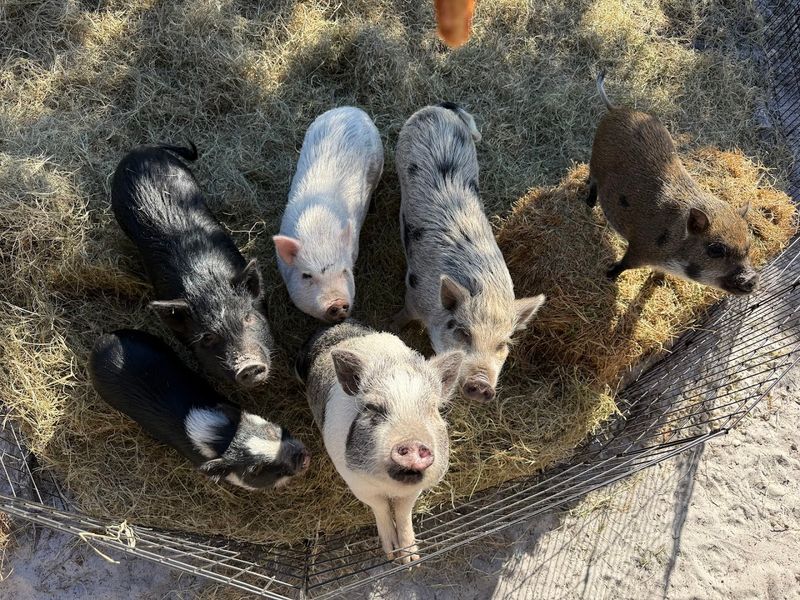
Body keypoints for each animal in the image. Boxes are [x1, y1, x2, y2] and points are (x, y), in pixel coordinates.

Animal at [295, 321, 463, 563]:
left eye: (432, 409)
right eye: (373, 408)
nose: (411, 442)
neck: (389, 485)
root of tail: (335, 326)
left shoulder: (416, 488)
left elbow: (403, 510)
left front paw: (410, 560)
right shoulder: (356, 482)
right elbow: (380, 506)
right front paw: (391, 555)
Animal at [393, 103, 546, 402]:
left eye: (502, 344)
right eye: (463, 332)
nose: (482, 385)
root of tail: (438, 108)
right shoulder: (413, 292)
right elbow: (403, 316)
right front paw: (393, 325)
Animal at [586, 72, 759, 294]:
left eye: (748, 247)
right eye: (716, 250)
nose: (752, 279)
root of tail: (615, 110)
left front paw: (659, 282)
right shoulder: (639, 247)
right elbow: (624, 264)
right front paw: (608, 276)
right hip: (595, 160)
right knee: (592, 180)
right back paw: (589, 204)